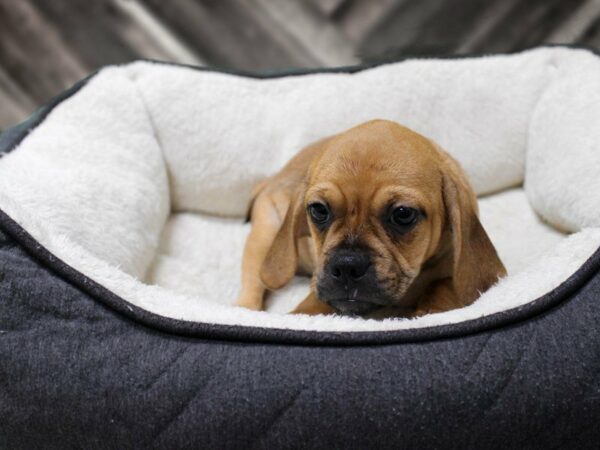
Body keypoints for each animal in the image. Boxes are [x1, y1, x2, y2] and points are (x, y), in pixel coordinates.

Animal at [236, 119, 506, 316]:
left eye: (403, 214)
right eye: (319, 210)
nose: (347, 266)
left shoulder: (450, 268)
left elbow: (442, 287)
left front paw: (429, 310)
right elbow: (314, 303)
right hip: (264, 236)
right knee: (251, 288)